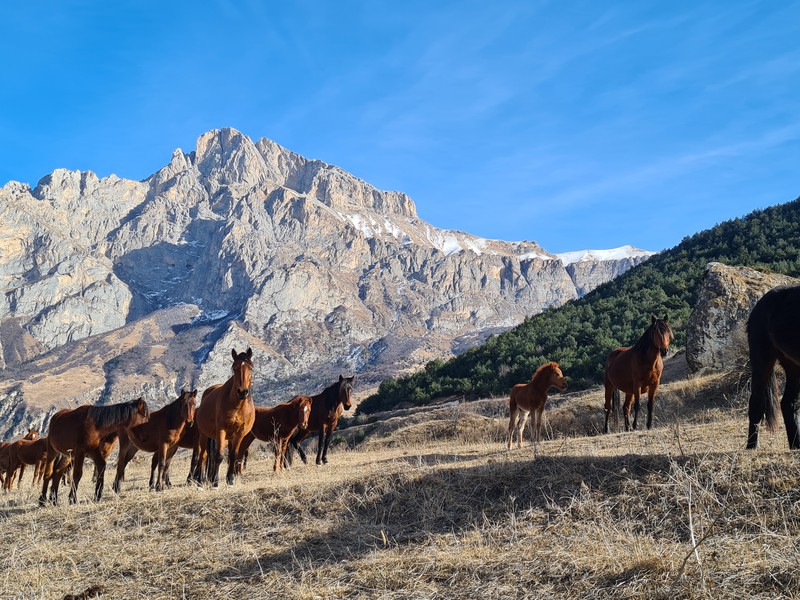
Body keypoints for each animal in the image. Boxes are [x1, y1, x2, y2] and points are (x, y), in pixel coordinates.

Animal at [193, 350, 253, 486]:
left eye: (251, 368)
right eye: (234, 368)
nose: (242, 392)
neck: (237, 405)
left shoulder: (239, 433)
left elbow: (233, 455)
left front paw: (230, 479)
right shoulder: (221, 430)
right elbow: (219, 456)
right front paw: (215, 482)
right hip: (204, 435)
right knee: (204, 456)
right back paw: (200, 481)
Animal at [744, 286, 800, 450]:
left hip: (794, 367)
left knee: (788, 403)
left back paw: (796, 445)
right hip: (762, 361)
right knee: (756, 403)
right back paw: (752, 446)